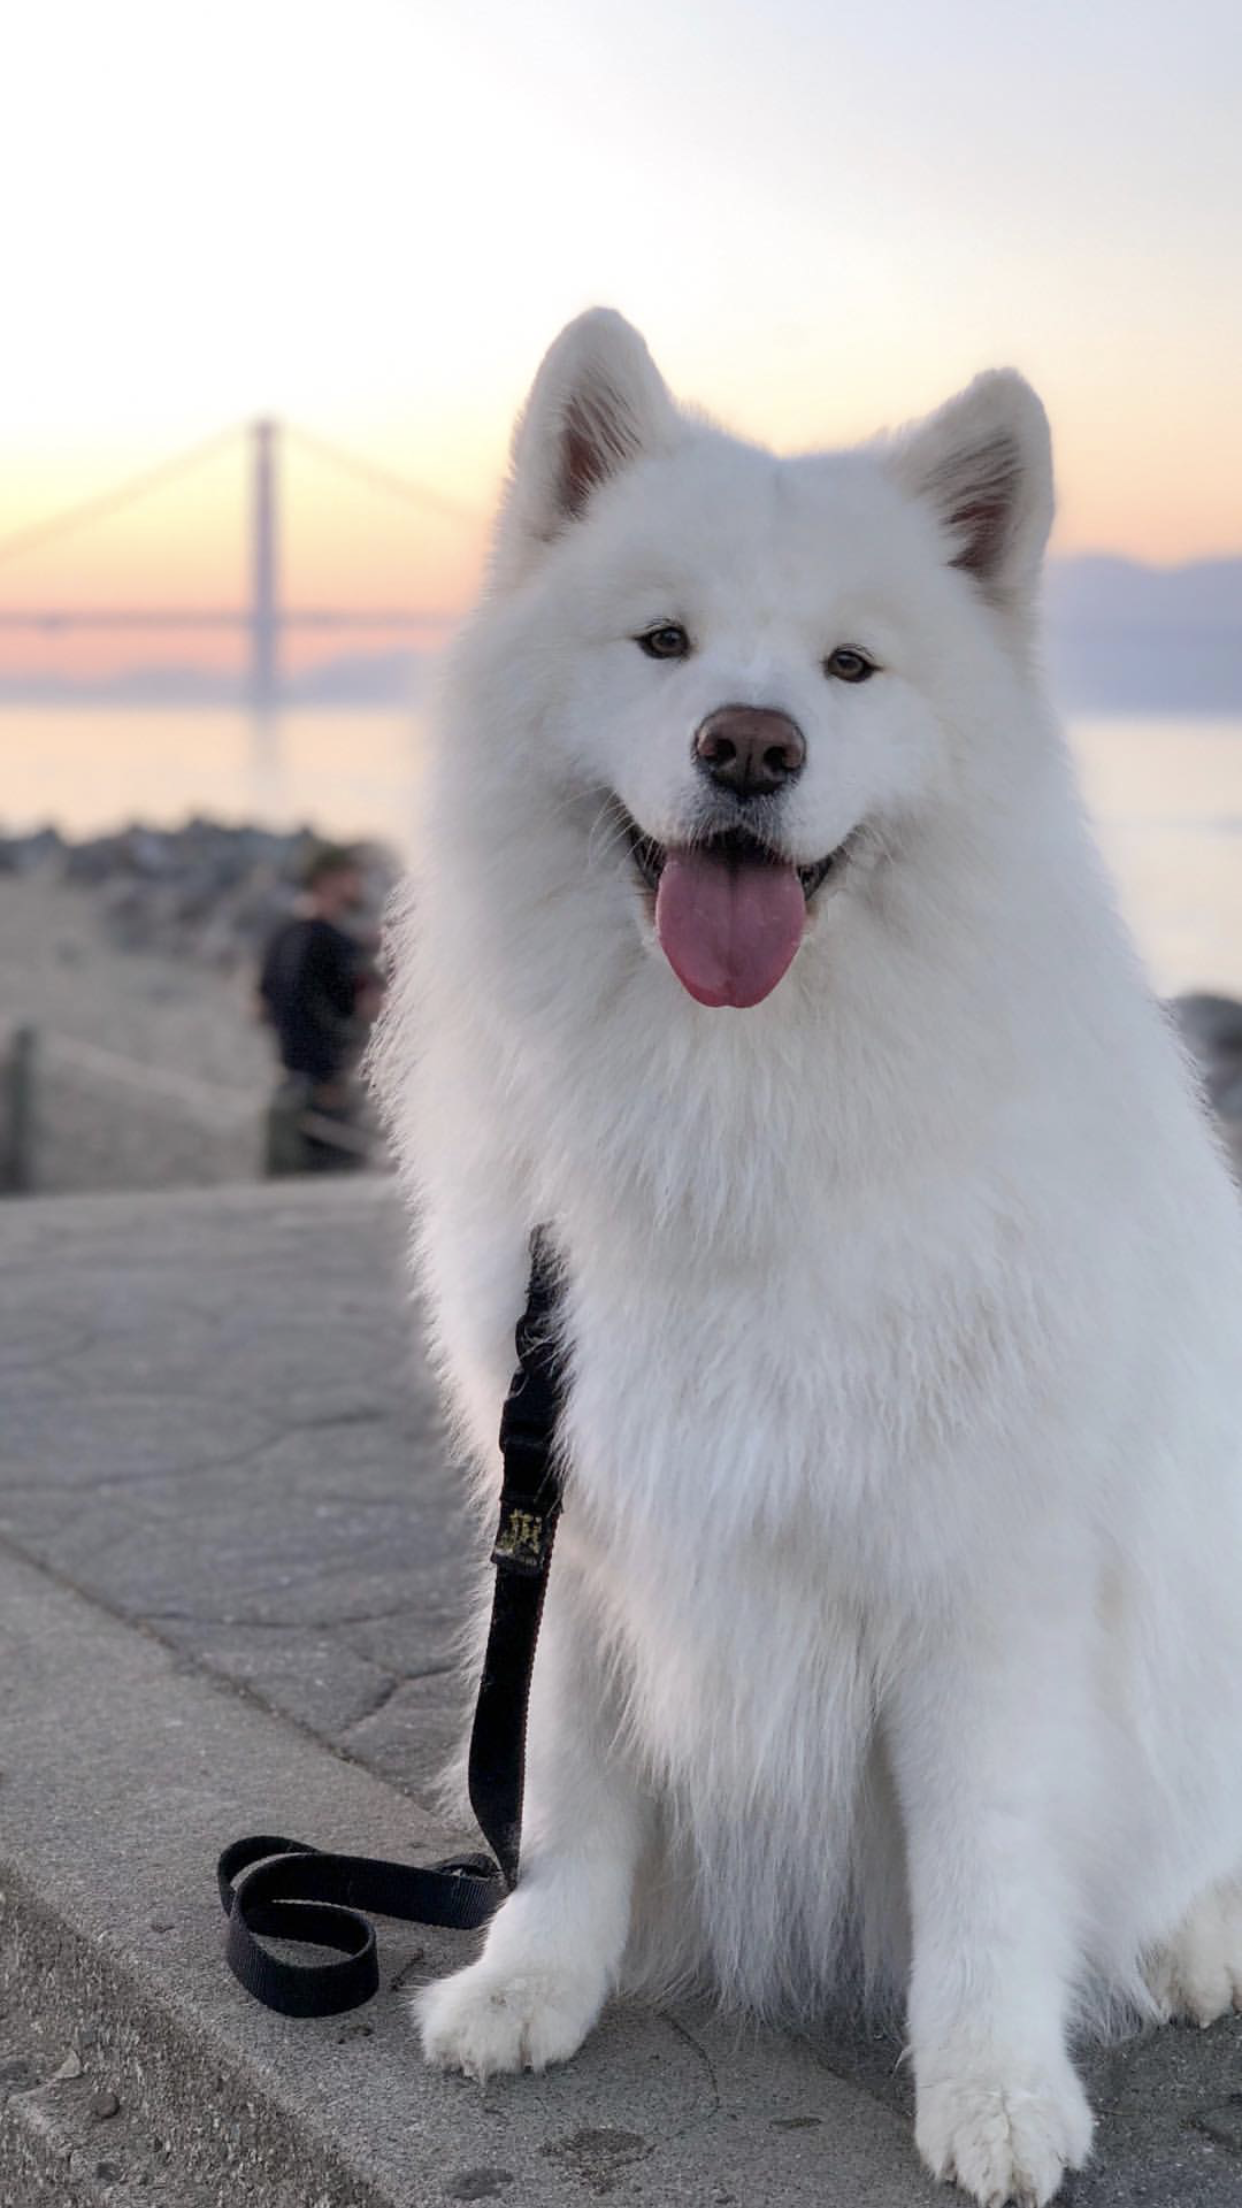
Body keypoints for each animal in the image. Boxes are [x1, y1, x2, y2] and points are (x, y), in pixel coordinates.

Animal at [371, 311, 1237, 2208]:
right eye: (663, 641)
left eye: (849, 668)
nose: (751, 744)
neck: (743, 1114)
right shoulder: (580, 1515)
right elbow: (567, 1797)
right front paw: (532, 1981)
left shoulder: (983, 1574)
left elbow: (988, 1863)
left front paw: (995, 2092)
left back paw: (1188, 1941)